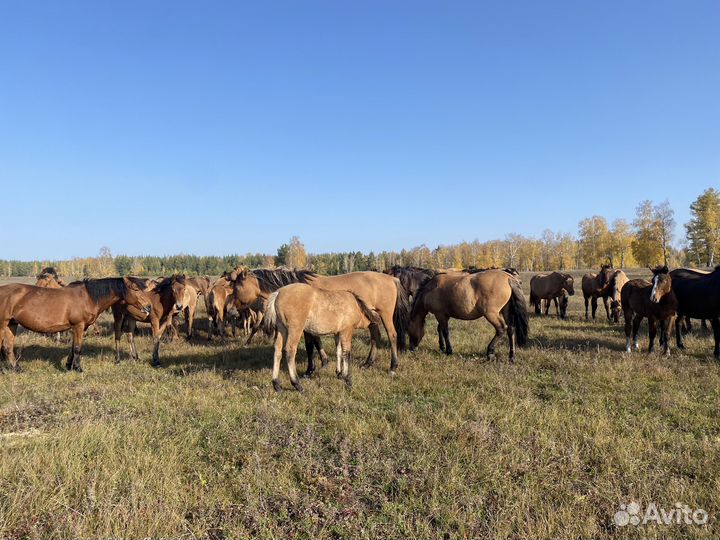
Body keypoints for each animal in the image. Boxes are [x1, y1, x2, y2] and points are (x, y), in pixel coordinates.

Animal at [0, 278, 152, 372]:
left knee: (8, 348)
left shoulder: (79, 327)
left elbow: (73, 348)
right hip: (3, 325)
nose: (148, 306)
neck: (88, 297)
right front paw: (78, 368)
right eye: (135, 289)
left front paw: (69, 366)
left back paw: (17, 368)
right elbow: (78, 348)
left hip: (11, 324)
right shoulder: (79, 325)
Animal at [233, 268, 410, 375]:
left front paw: (310, 370)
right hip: (372, 318)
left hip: (385, 315)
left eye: (235, 288)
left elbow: (310, 346)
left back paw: (393, 367)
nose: (233, 309)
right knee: (375, 337)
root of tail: (391, 278)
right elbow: (316, 343)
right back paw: (368, 363)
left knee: (392, 335)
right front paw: (323, 363)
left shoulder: (304, 328)